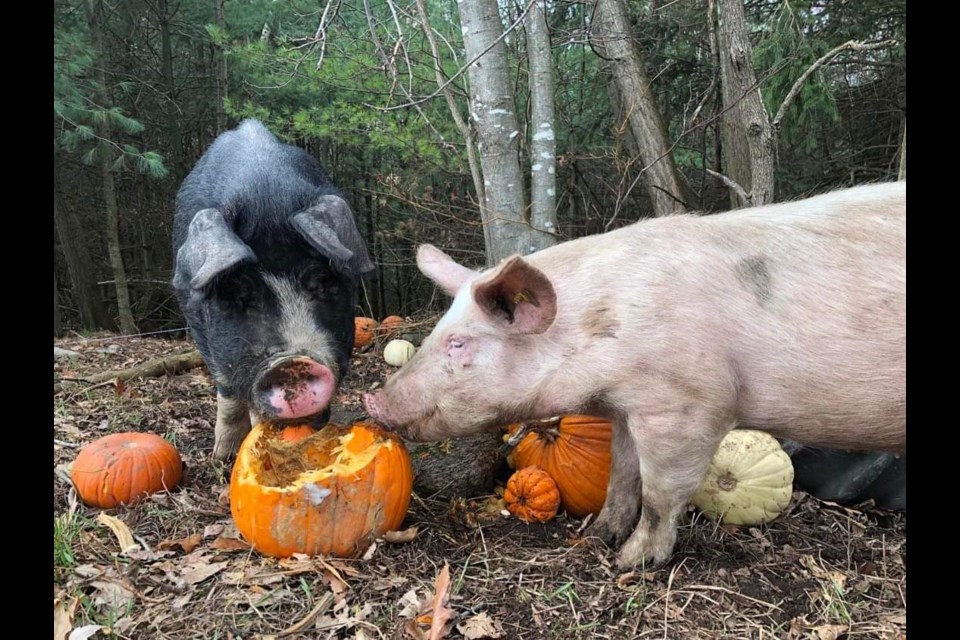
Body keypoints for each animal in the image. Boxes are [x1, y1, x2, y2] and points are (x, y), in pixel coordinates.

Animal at [362, 182, 908, 568]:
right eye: (438, 331)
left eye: (459, 343)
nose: (374, 401)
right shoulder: (625, 408)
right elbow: (621, 475)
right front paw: (593, 537)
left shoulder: (686, 407)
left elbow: (661, 492)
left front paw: (631, 562)